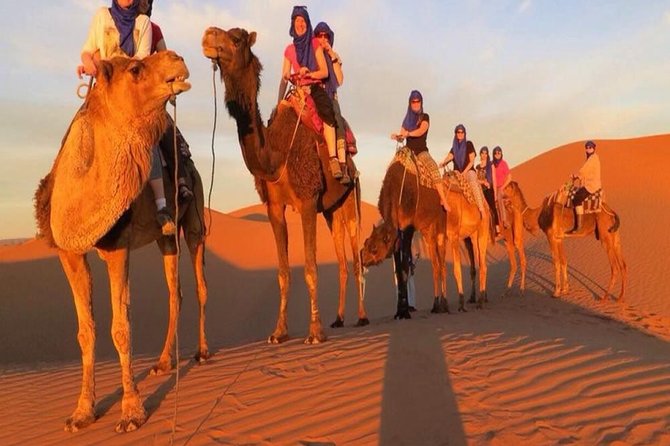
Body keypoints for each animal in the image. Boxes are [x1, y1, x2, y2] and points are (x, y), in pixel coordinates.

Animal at [34, 51, 209, 433]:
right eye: (135, 69)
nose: (178, 59)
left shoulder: (117, 247)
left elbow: (121, 328)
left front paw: (131, 412)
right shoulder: (69, 253)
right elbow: (86, 331)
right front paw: (82, 413)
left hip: (195, 217)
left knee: (200, 282)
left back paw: (202, 352)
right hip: (165, 239)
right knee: (175, 291)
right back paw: (163, 362)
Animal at [201, 27, 367, 343]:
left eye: (236, 39)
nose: (207, 35)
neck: (275, 155)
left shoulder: (307, 200)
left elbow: (311, 269)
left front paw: (314, 332)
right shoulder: (275, 207)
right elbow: (283, 272)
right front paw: (278, 332)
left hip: (353, 199)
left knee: (356, 259)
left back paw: (362, 317)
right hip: (332, 211)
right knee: (341, 262)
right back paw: (339, 318)